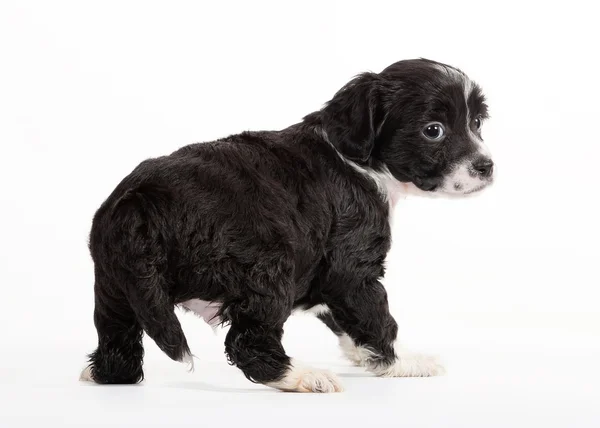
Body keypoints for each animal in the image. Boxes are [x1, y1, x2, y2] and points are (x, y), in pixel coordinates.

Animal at [78, 58, 492, 392]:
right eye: (433, 130)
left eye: (475, 122)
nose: (486, 167)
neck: (358, 160)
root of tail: (138, 200)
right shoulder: (351, 266)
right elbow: (375, 315)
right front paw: (405, 361)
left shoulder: (325, 275)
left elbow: (343, 317)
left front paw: (363, 355)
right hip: (267, 269)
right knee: (248, 342)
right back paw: (302, 377)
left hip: (115, 284)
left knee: (118, 345)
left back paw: (102, 373)